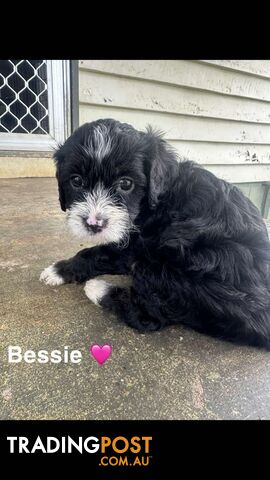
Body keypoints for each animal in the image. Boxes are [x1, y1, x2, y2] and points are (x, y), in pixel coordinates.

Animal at [39, 117, 270, 346]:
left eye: (126, 183)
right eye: (76, 181)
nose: (93, 224)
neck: (157, 198)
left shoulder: (136, 245)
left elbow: (97, 252)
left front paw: (61, 270)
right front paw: (60, 271)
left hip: (166, 267)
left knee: (150, 317)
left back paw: (98, 289)